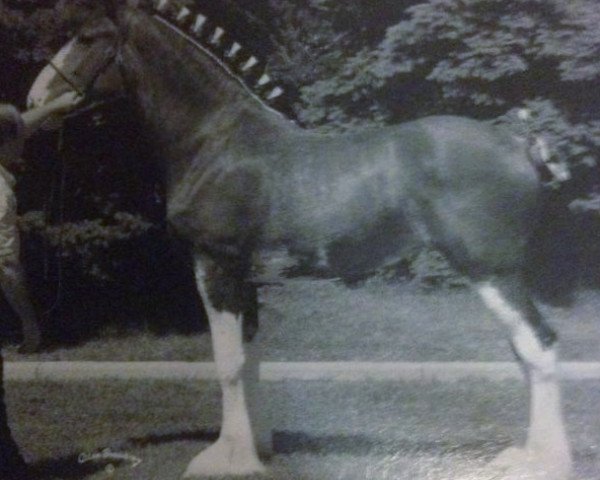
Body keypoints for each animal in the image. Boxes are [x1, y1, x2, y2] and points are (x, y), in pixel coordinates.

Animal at [29, 0, 576, 480]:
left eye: (87, 37)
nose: (34, 100)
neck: (218, 142)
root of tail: (517, 143)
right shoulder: (249, 280)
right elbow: (250, 360)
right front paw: (255, 449)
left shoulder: (216, 265)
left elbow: (228, 364)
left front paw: (225, 458)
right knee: (525, 350)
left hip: (492, 271)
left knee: (539, 345)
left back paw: (545, 460)